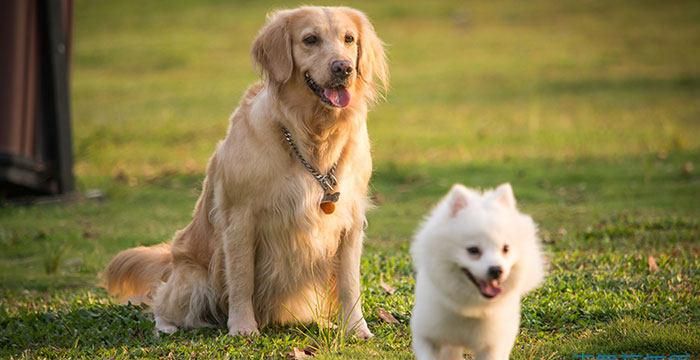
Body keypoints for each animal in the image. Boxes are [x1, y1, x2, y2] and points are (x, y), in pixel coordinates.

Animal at [410, 184, 548, 358]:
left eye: (506, 249)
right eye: (473, 250)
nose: (497, 270)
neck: (471, 308)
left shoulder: (492, 346)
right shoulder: (427, 335)